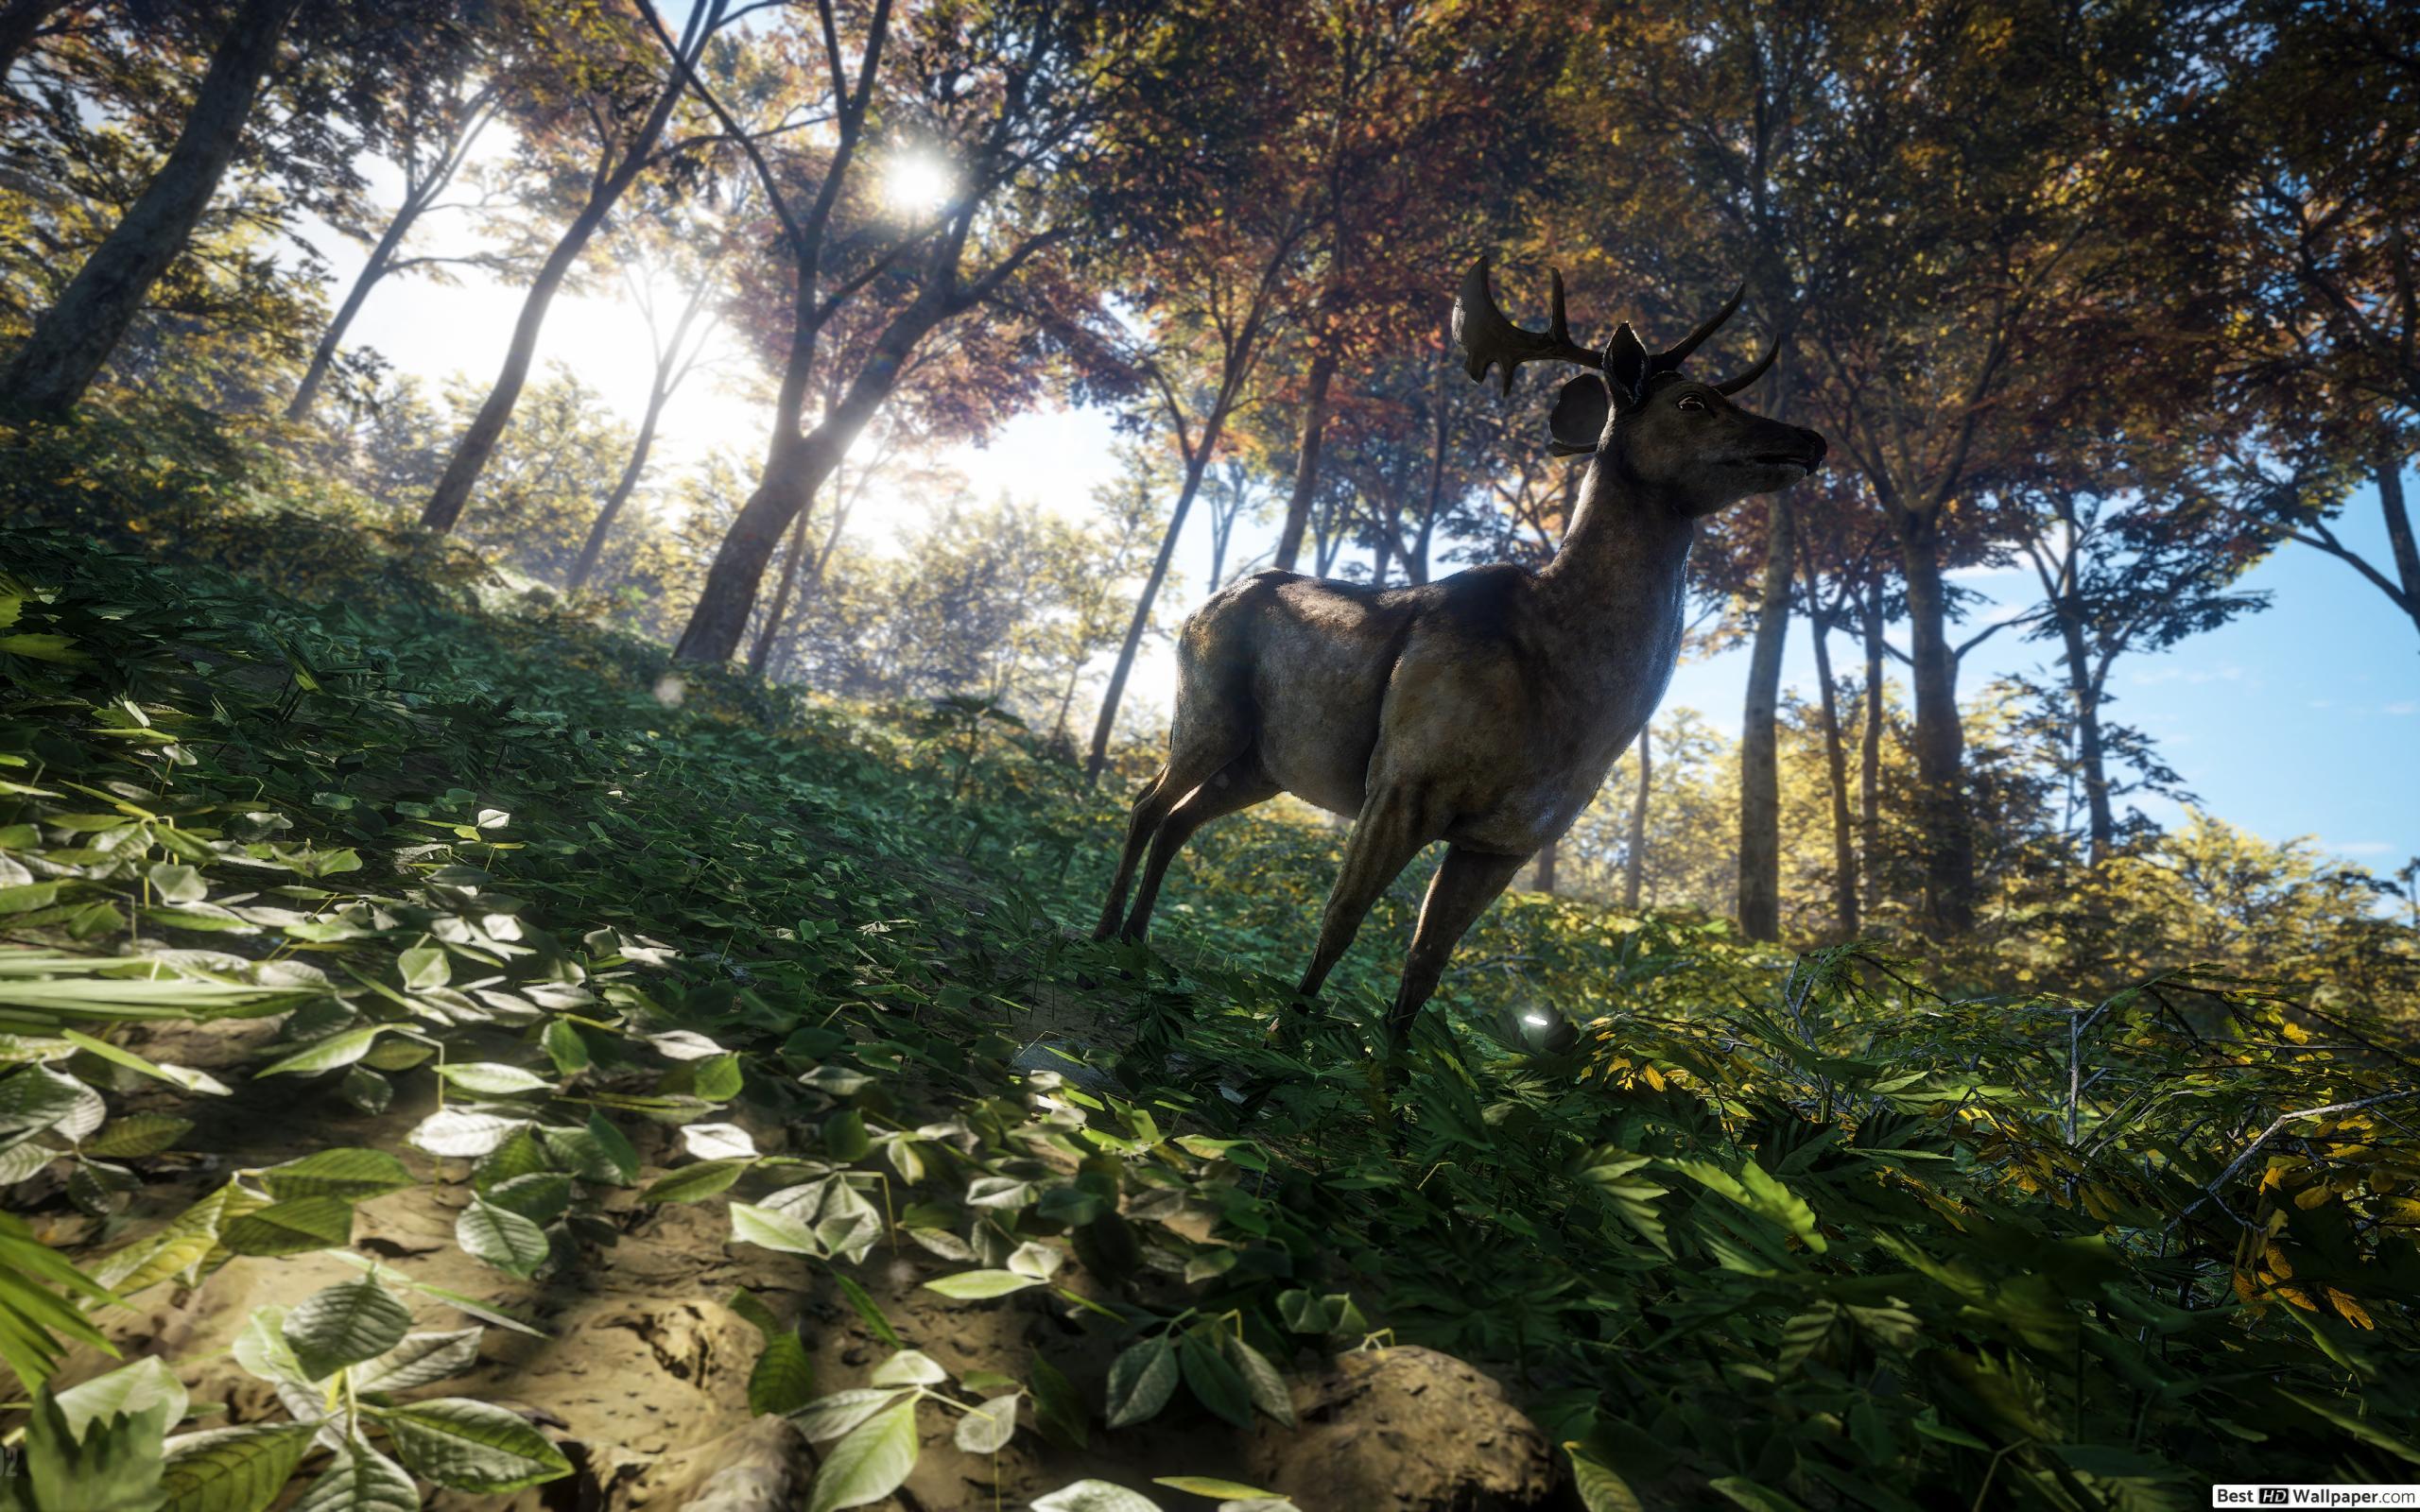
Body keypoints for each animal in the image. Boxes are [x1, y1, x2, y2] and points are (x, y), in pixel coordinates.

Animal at [1092, 259, 1826, 1058]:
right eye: (1695, 402)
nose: (1810, 439)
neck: (1570, 691)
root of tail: (1202, 605)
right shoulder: (1404, 780)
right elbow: (1341, 916)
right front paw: (1282, 1042)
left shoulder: (1510, 840)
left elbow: (1426, 965)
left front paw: (1392, 1076)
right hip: (1209, 710)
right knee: (1147, 802)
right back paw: (1100, 940)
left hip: (1266, 763)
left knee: (1181, 819)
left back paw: (1136, 943)